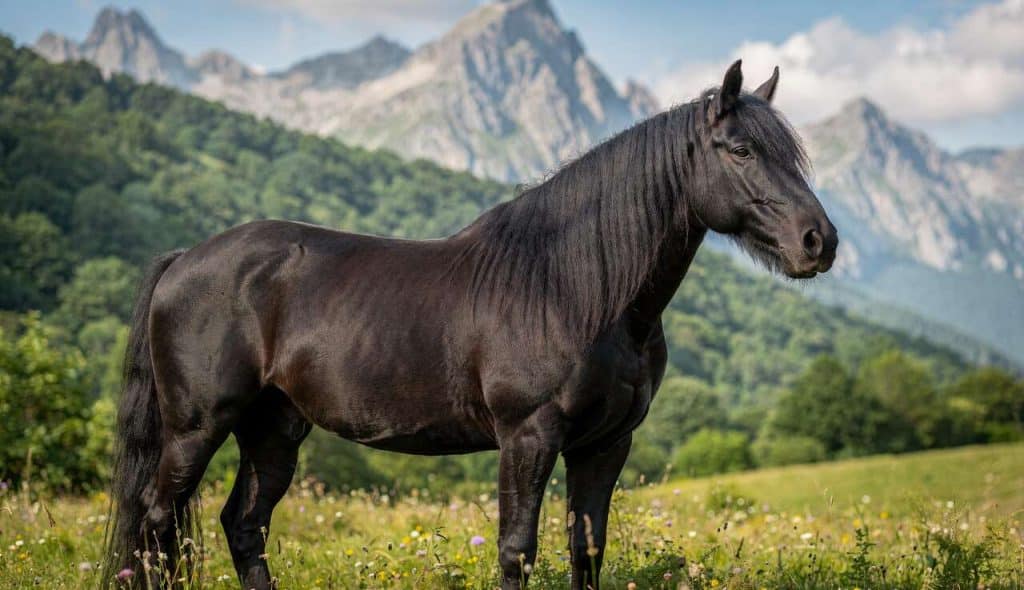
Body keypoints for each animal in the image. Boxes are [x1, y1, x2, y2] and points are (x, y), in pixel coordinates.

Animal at [102, 60, 837, 590]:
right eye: (738, 149)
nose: (818, 242)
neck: (575, 289)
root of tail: (183, 261)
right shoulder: (528, 437)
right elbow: (518, 550)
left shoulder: (605, 446)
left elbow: (586, 550)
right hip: (197, 428)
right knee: (157, 527)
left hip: (273, 429)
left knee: (242, 526)